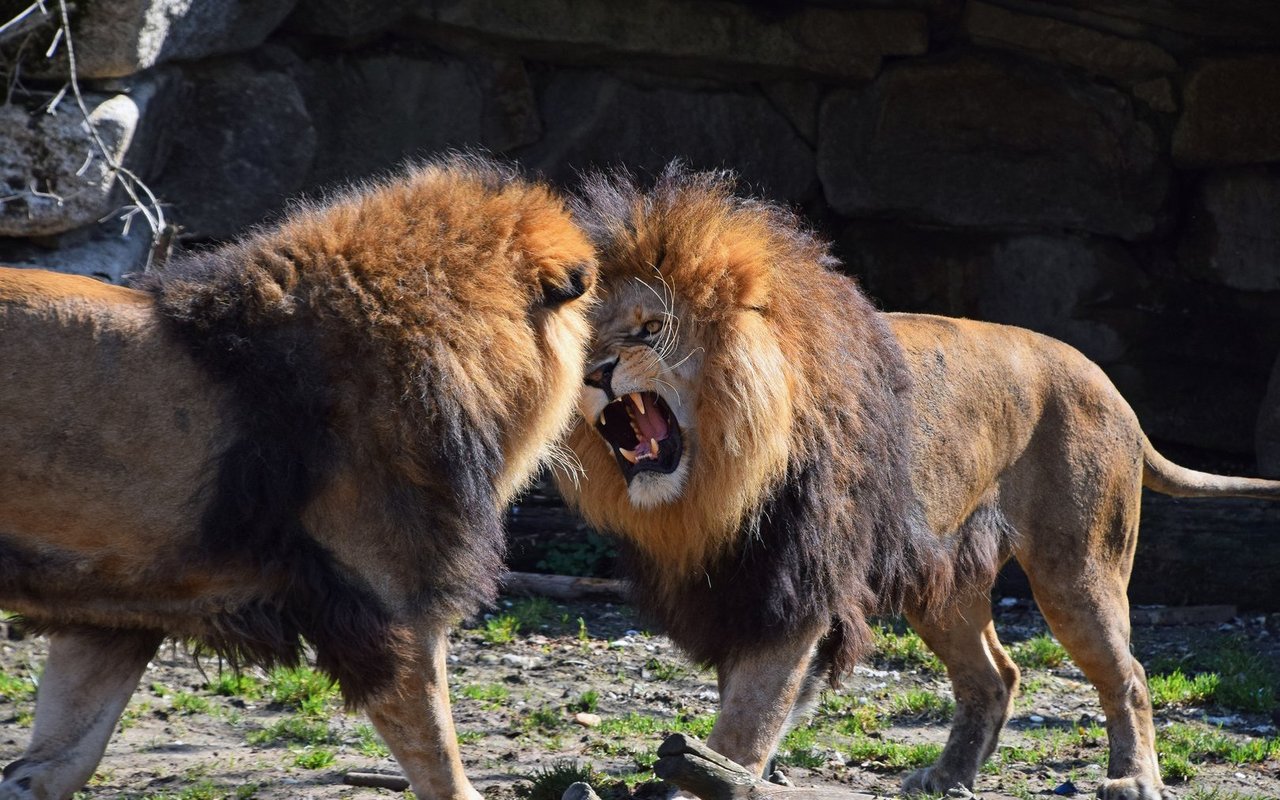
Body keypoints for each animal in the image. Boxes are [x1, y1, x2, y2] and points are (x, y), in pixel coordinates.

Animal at [557, 165, 1280, 800]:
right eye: (586, 338)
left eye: (651, 328)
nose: (595, 374)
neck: (719, 482)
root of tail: (1114, 391)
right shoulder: (741, 585)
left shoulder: (794, 587)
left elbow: (750, 716)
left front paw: (708, 777)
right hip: (945, 579)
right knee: (996, 675)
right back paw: (949, 776)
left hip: (1077, 569)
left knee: (1128, 674)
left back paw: (1133, 779)